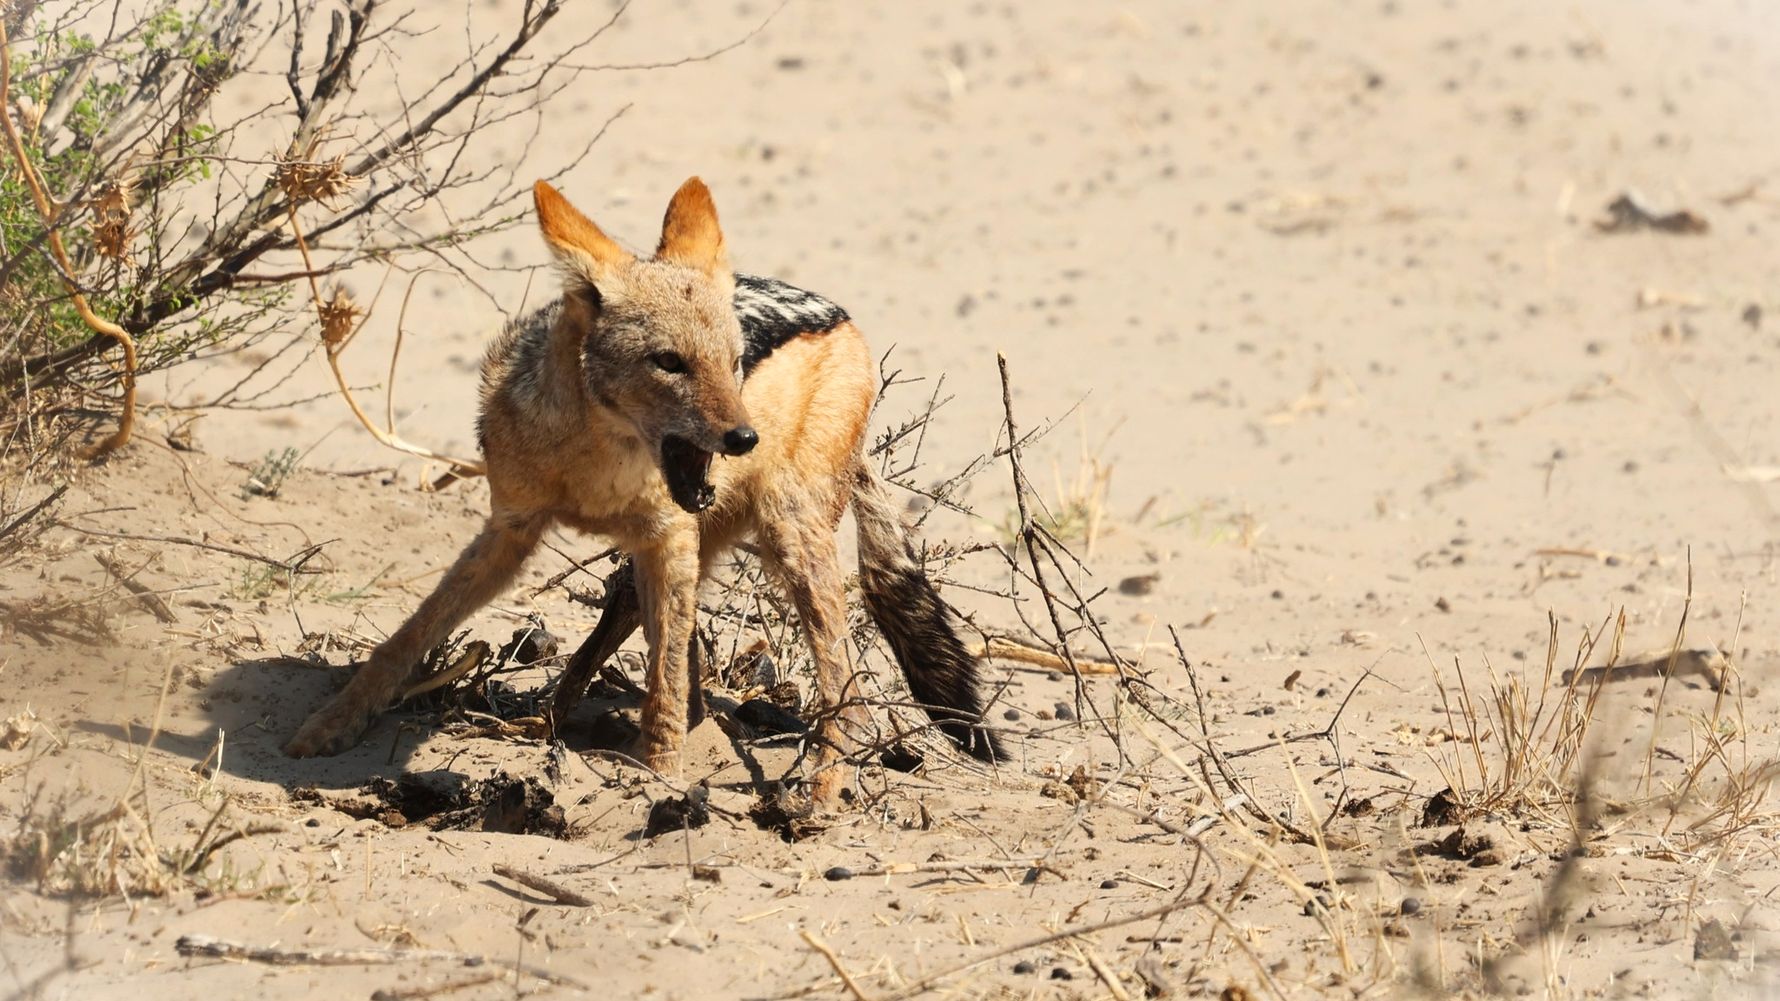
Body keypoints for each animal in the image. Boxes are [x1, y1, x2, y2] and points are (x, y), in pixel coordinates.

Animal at [285, 177, 1002, 805]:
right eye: (669, 363)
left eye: (734, 362)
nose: (744, 437)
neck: (594, 467)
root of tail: (839, 313)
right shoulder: (511, 532)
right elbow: (411, 633)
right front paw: (331, 724)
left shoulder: (668, 538)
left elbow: (663, 678)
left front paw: (658, 773)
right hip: (699, 549)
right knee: (654, 645)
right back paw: (555, 719)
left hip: (787, 540)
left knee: (844, 692)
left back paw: (822, 788)